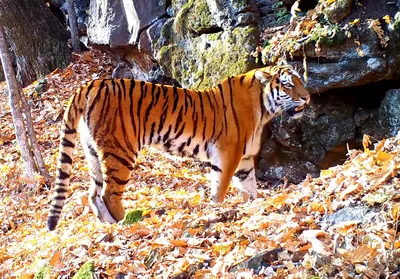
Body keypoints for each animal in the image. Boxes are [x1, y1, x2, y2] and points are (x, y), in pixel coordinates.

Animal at [47, 64, 310, 231]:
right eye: (287, 85)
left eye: (300, 81)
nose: (307, 97)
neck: (263, 108)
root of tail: (89, 85)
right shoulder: (228, 154)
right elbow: (220, 189)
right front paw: (217, 210)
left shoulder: (244, 159)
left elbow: (250, 188)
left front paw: (252, 205)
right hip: (120, 150)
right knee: (109, 193)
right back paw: (127, 222)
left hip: (92, 152)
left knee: (93, 193)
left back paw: (109, 225)